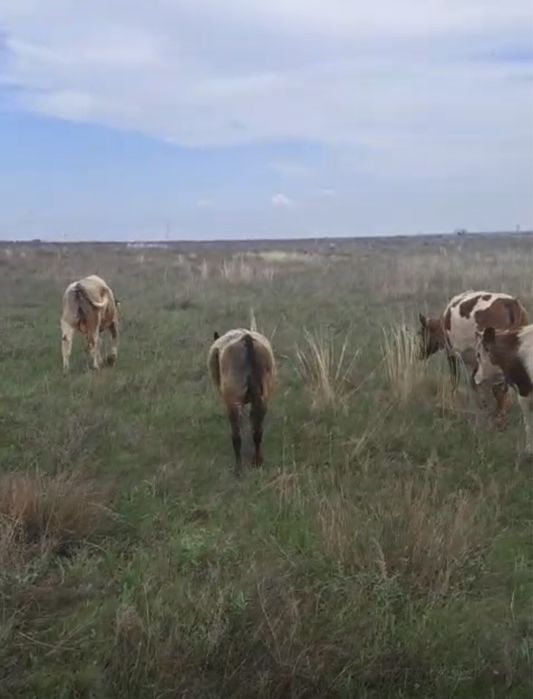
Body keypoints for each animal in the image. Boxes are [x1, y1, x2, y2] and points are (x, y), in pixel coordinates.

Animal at [208, 329, 275, 476]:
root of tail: (247, 339)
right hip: (262, 399)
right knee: (257, 432)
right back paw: (257, 462)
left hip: (233, 401)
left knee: (236, 436)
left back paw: (238, 469)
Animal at [418, 290, 528, 420]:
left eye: (420, 332)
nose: (419, 353)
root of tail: (511, 304)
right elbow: (474, 382)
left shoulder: (452, 353)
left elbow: (456, 378)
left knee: (499, 388)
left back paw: (498, 415)